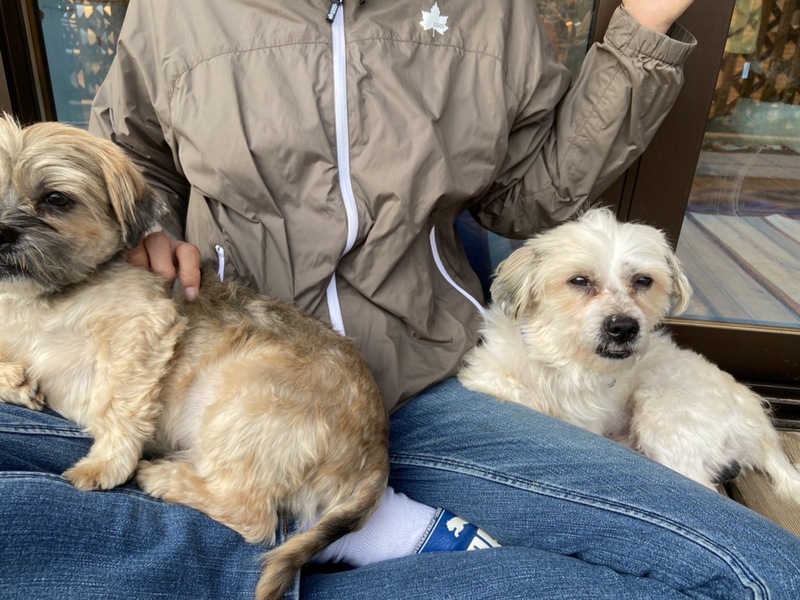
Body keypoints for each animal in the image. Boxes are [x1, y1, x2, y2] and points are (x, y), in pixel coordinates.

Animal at [0, 116, 389, 600]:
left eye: (55, 199)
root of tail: (377, 449)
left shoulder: (142, 325)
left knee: (251, 514)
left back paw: (163, 478)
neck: (41, 298)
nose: (1, 232)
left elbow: (117, 403)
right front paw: (15, 381)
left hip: (240, 402)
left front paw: (104, 464)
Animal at [459, 207, 800, 499]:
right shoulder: (489, 371)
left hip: (664, 418)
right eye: (579, 280)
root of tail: (759, 426)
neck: (561, 363)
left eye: (643, 280)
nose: (624, 327)